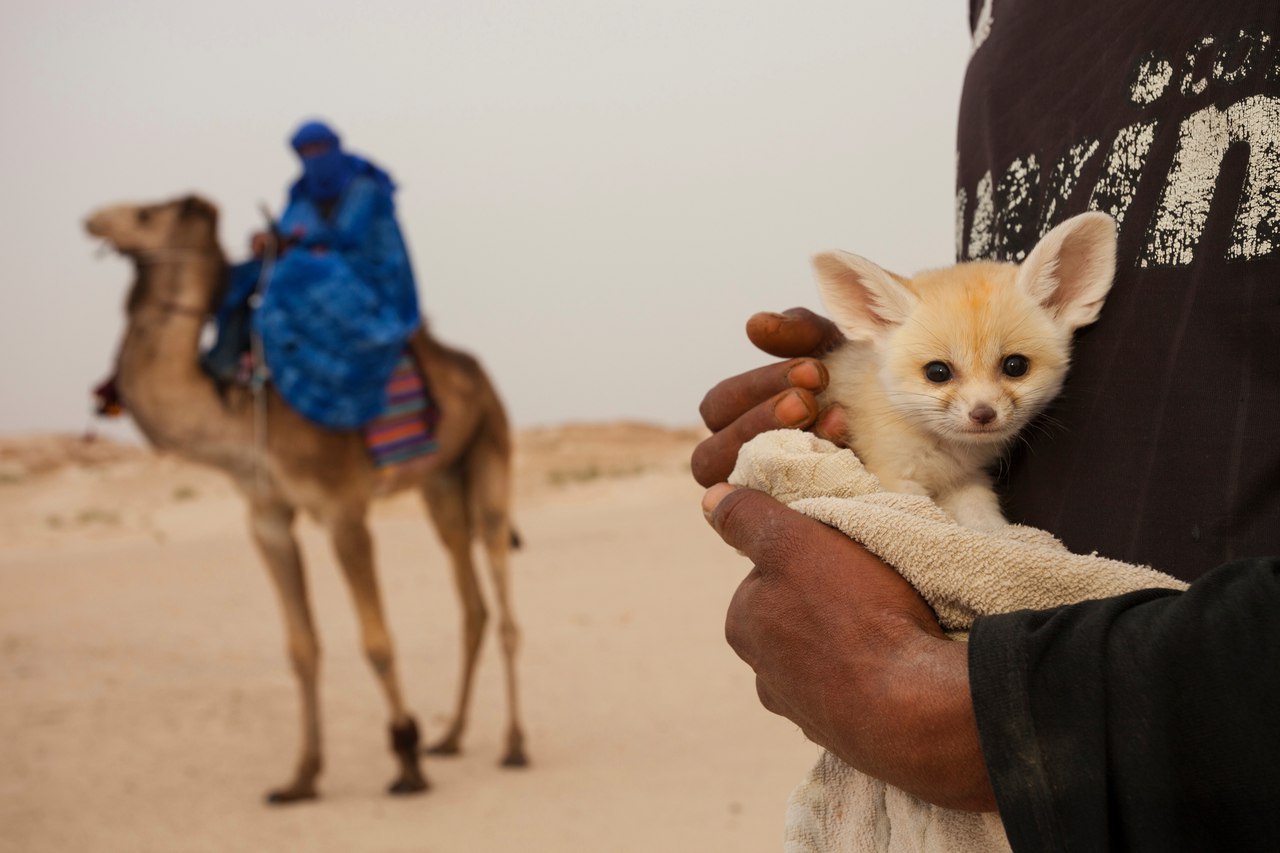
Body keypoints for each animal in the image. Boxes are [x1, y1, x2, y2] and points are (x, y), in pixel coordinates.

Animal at [82, 195, 529, 799]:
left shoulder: (343, 510)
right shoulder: (266, 514)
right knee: (471, 599)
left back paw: (514, 745)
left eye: (148, 214)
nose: (93, 219)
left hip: (490, 447)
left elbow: (376, 640)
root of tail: (478, 374)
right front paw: (301, 776)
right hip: (440, 481)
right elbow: (301, 646)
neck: (241, 408)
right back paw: (452, 736)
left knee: (501, 589)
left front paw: (406, 761)